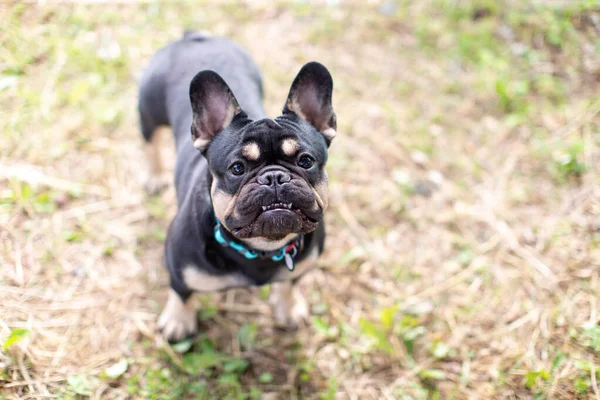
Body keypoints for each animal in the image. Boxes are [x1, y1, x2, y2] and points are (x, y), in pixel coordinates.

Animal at [139, 32, 338, 342]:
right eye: (237, 169)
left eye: (305, 161)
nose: (274, 177)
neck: (261, 248)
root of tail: (195, 36)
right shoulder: (178, 266)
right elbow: (181, 292)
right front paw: (178, 321)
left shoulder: (301, 266)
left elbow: (290, 282)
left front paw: (289, 307)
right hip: (148, 111)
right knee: (150, 143)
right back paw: (154, 175)